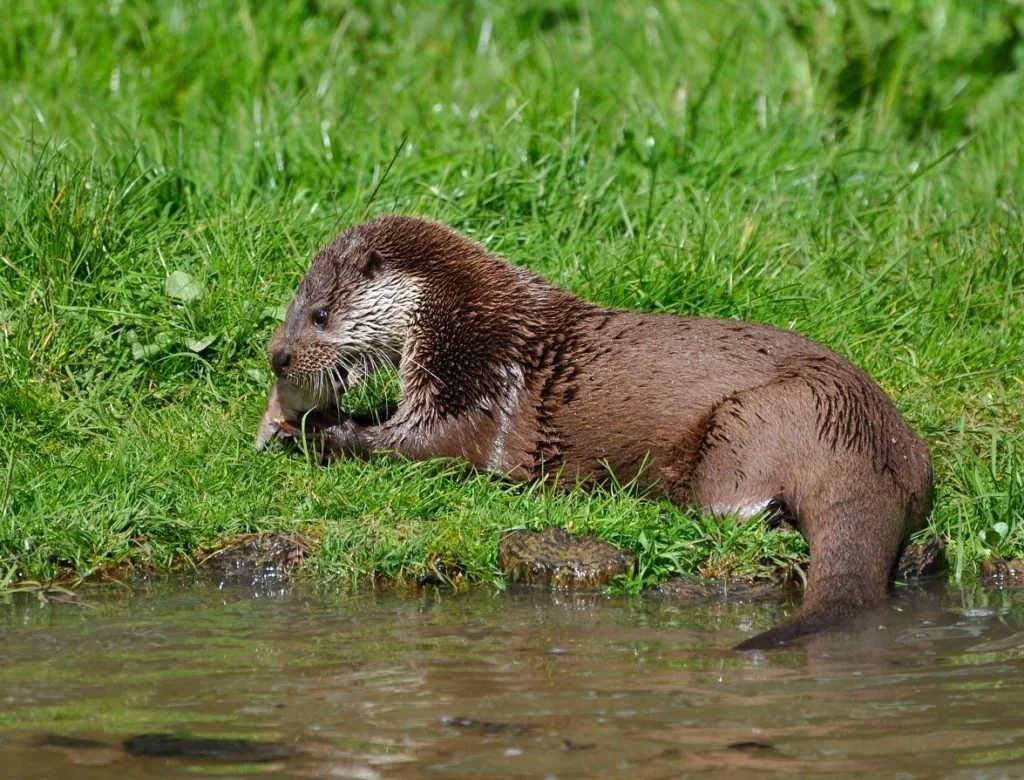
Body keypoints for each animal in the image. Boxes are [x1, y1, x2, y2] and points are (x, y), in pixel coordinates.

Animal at [260, 215, 934, 650]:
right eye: (292, 309)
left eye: (320, 314)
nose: (277, 357)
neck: (463, 318)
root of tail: (866, 441)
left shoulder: (473, 391)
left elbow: (417, 446)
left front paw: (312, 431)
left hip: (754, 424)